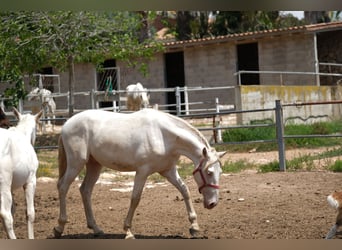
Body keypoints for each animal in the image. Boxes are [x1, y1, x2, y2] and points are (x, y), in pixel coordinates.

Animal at [0, 107, 42, 238]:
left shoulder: (11, 188)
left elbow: (13, 210)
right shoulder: (31, 181)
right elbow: (30, 213)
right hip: (3, 186)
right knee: (6, 216)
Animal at [52, 108, 224, 239]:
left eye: (220, 172)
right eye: (209, 172)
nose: (212, 203)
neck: (163, 135)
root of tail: (67, 124)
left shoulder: (168, 170)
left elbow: (185, 191)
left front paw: (194, 226)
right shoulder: (142, 172)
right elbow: (135, 198)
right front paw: (128, 231)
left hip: (94, 165)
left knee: (85, 190)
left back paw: (96, 228)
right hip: (76, 163)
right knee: (63, 186)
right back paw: (59, 227)